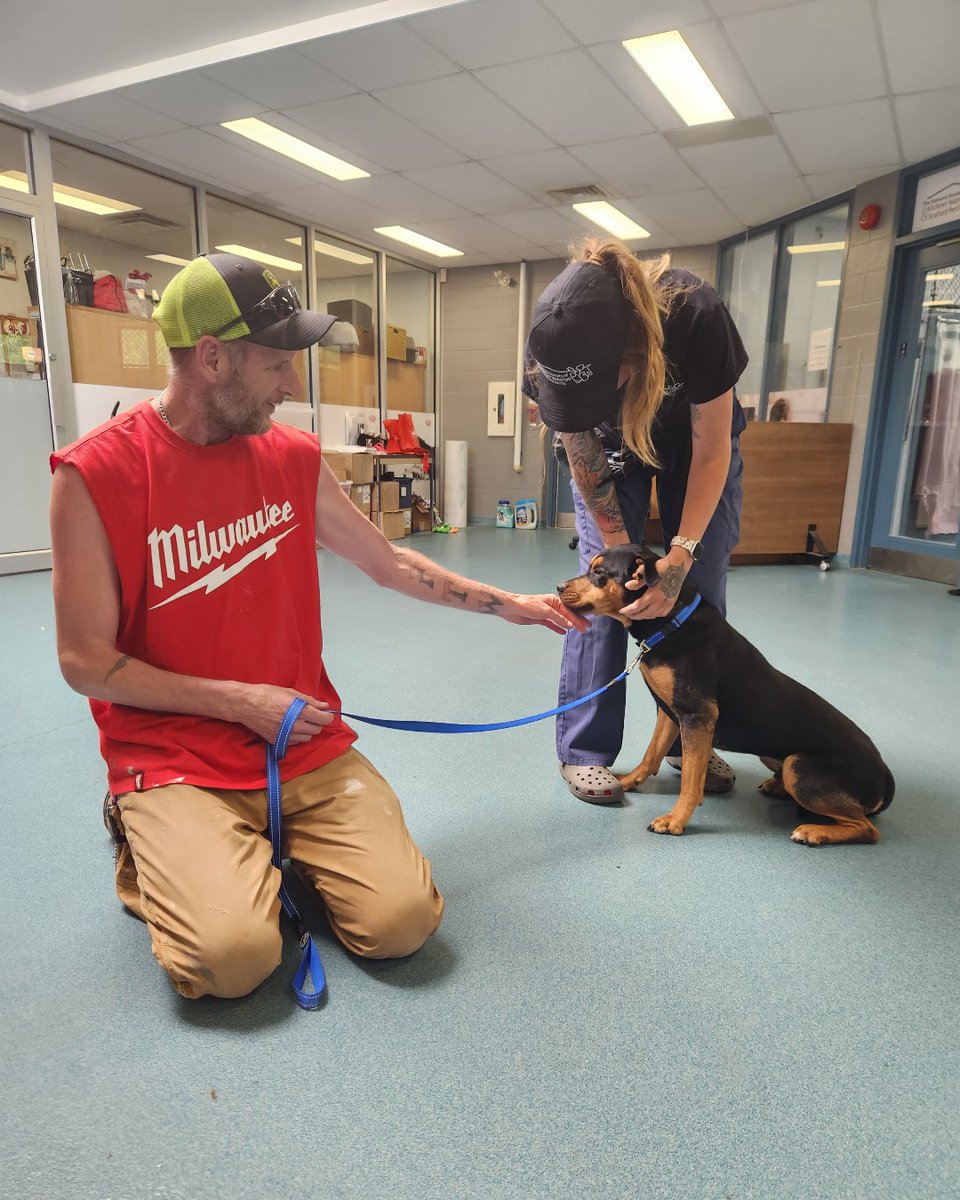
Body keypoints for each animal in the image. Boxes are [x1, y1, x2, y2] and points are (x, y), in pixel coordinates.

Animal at [559, 549, 897, 849]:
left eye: (599, 572)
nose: (559, 587)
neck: (671, 623)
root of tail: (884, 774)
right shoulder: (670, 711)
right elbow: (651, 755)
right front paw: (630, 781)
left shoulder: (698, 715)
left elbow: (690, 779)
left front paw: (676, 820)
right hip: (775, 757)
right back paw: (778, 788)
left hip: (800, 767)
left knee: (868, 829)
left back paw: (815, 832)